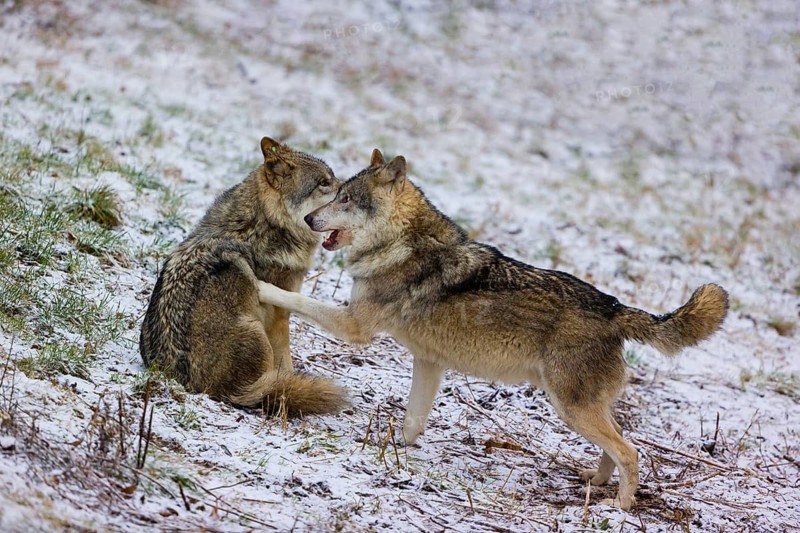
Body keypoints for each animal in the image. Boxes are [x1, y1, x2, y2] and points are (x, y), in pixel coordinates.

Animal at [139, 137, 348, 415]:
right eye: (324, 183)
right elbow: (286, 361)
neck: (263, 225)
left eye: (332, 177)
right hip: (257, 332)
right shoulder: (280, 316)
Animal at [256, 148, 729, 509]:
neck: (401, 244)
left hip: (570, 408)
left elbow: (295, 299)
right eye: (333, 194)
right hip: (581, 408)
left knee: (631, 452)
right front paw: (395, 454)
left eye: (347, 199)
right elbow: (412, 421)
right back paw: (594, 482)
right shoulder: (428, 362)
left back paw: (619, 507)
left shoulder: (355, 327)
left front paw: (259, 283)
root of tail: (616, 308)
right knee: (617, 446)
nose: (310, 221)